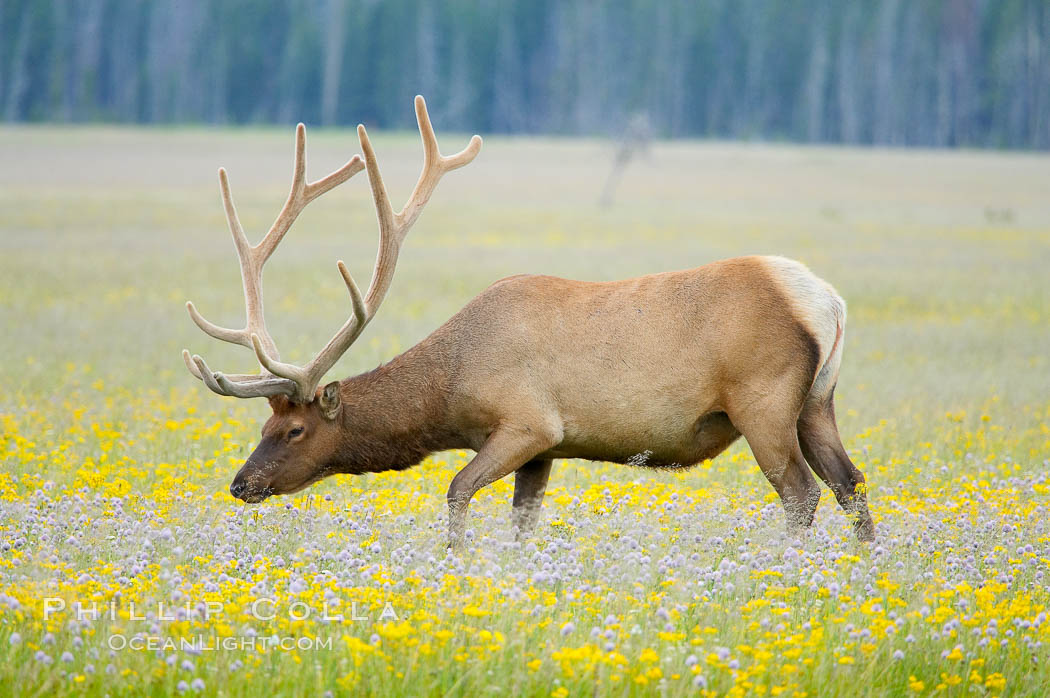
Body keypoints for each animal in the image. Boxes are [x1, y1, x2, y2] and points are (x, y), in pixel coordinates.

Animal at [182, 96, 877, 545]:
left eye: (294, 430)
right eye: (262, 425)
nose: (242, 483)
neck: (452, 389)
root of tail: (827, 302)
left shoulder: (528, 423)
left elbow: (457, 489)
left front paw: (458, 561)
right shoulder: (547, 450)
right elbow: (522, 522)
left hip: (764, 402)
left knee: (802, 493)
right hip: (818, 401)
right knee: (852, 483)